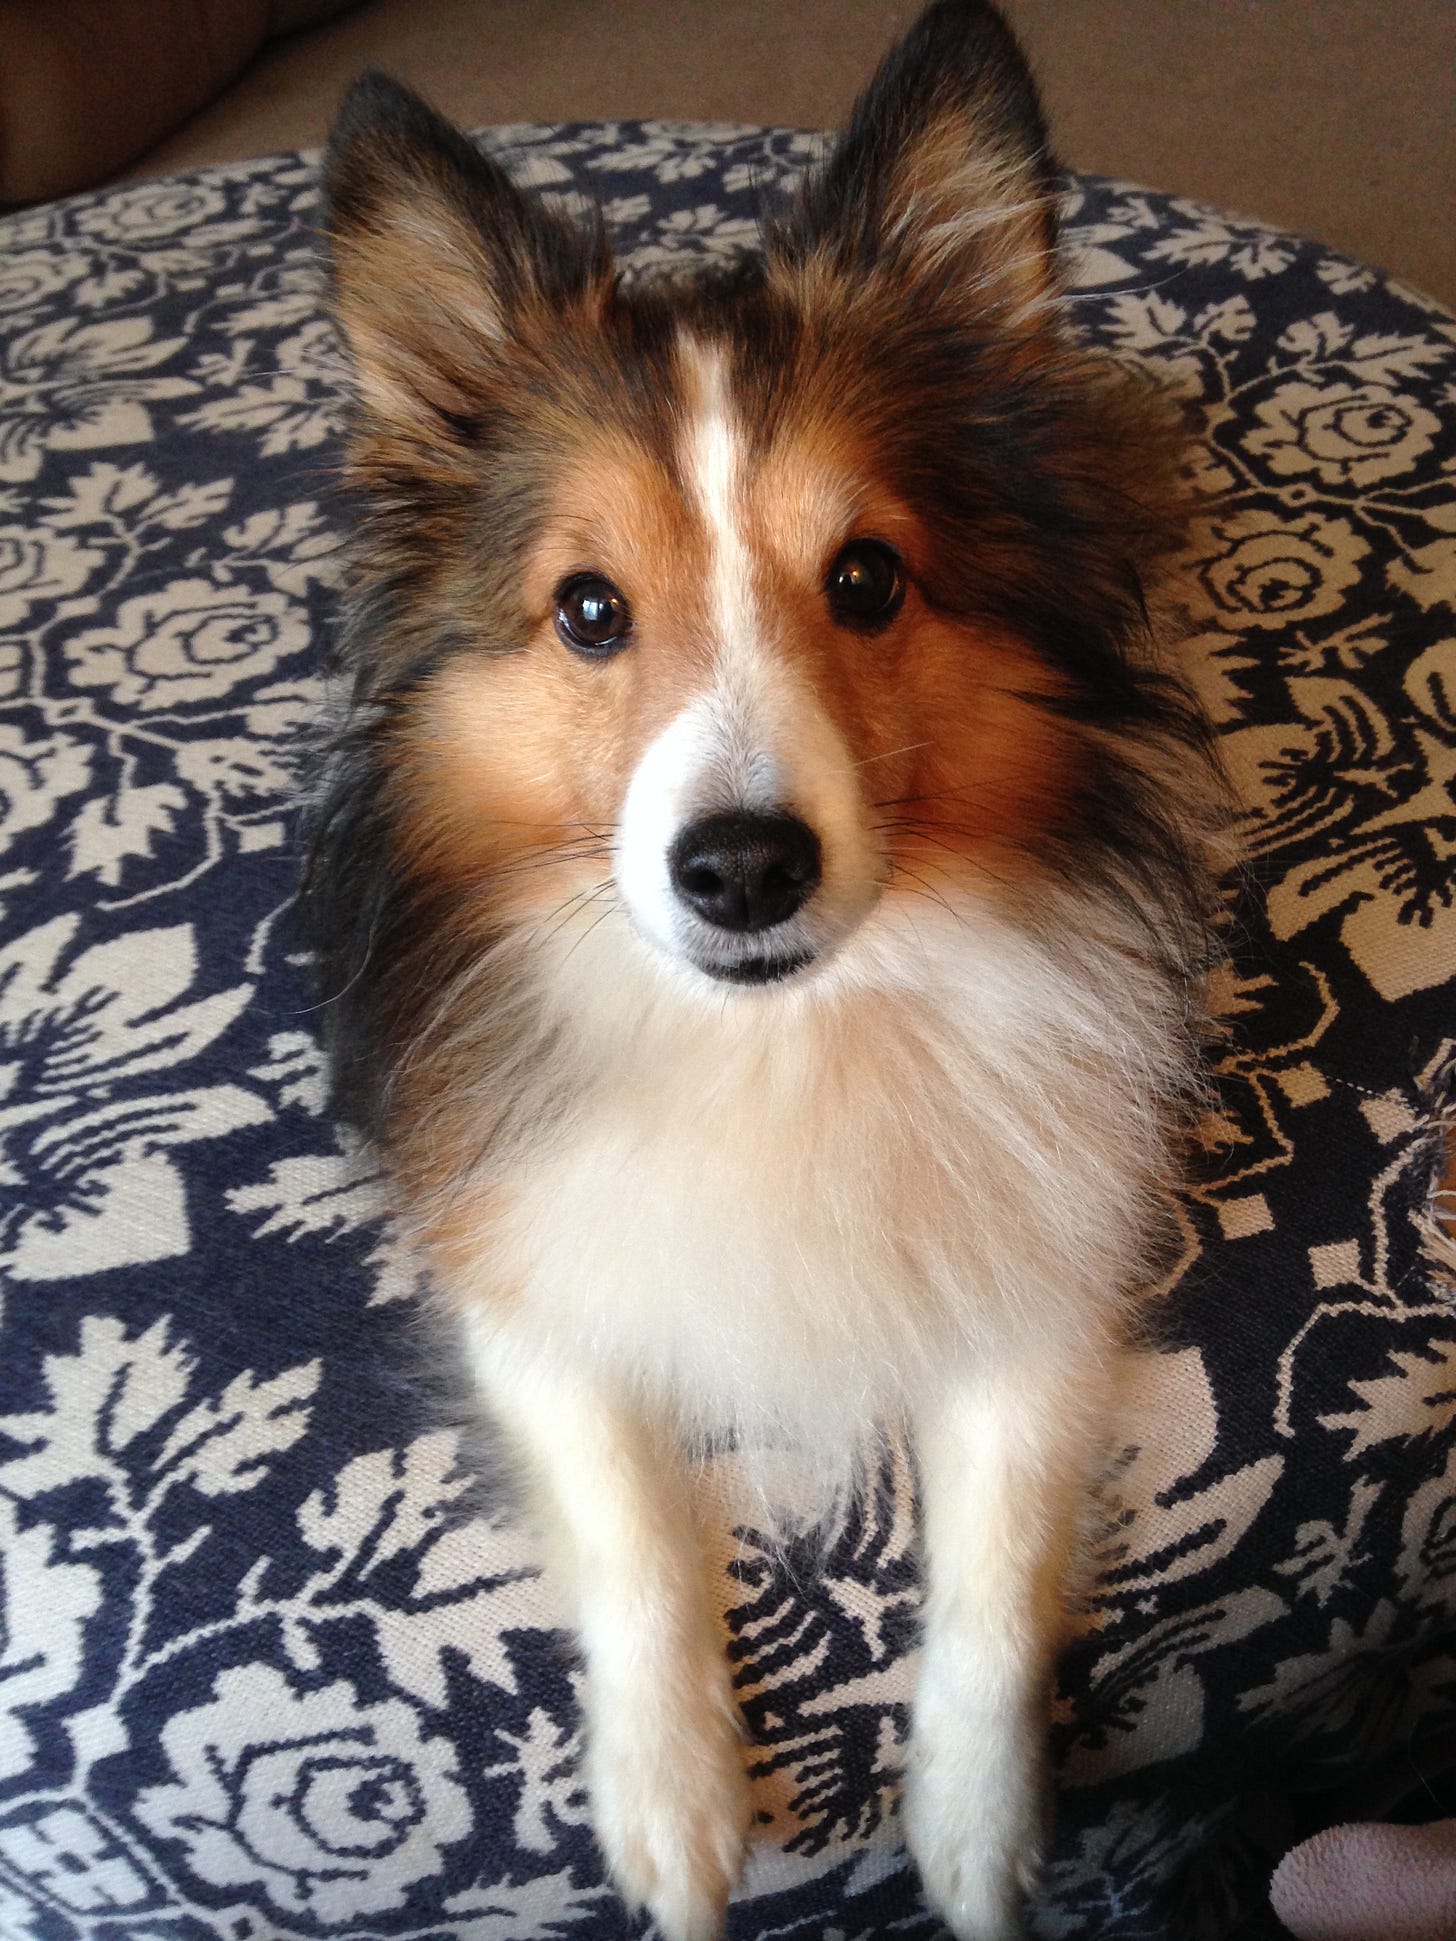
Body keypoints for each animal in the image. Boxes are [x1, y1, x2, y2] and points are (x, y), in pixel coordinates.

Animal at [310, 7, 1234, 1933]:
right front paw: (672, 1811)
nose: (741, 869)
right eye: (588, 609)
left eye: (868, 577)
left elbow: (995, 1567)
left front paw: (975, 1832)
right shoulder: (529, 1268)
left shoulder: (1044, 1275)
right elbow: (635, 1523)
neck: (784, 1033)